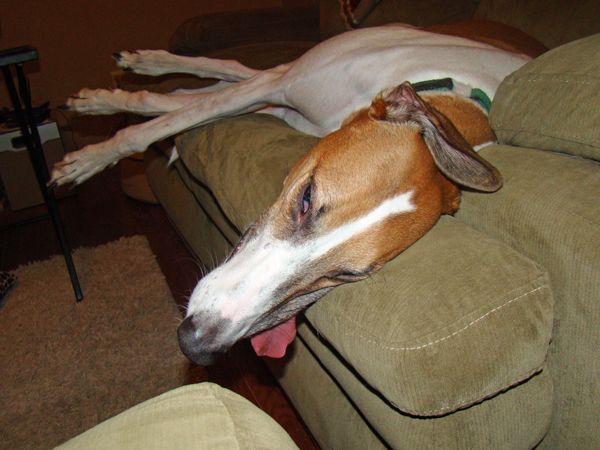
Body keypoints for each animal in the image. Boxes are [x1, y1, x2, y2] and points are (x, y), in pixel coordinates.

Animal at [49, 23, 532, 366]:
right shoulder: (285, 88)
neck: (453, 91)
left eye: (346, 275)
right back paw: (131, 76)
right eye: (305, 199)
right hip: (295, 74)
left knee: (211, 85)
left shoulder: (283, 105)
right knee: (229, 78)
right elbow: (182, 114)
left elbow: (191, 106)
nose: (196, 344)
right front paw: (90, 157)